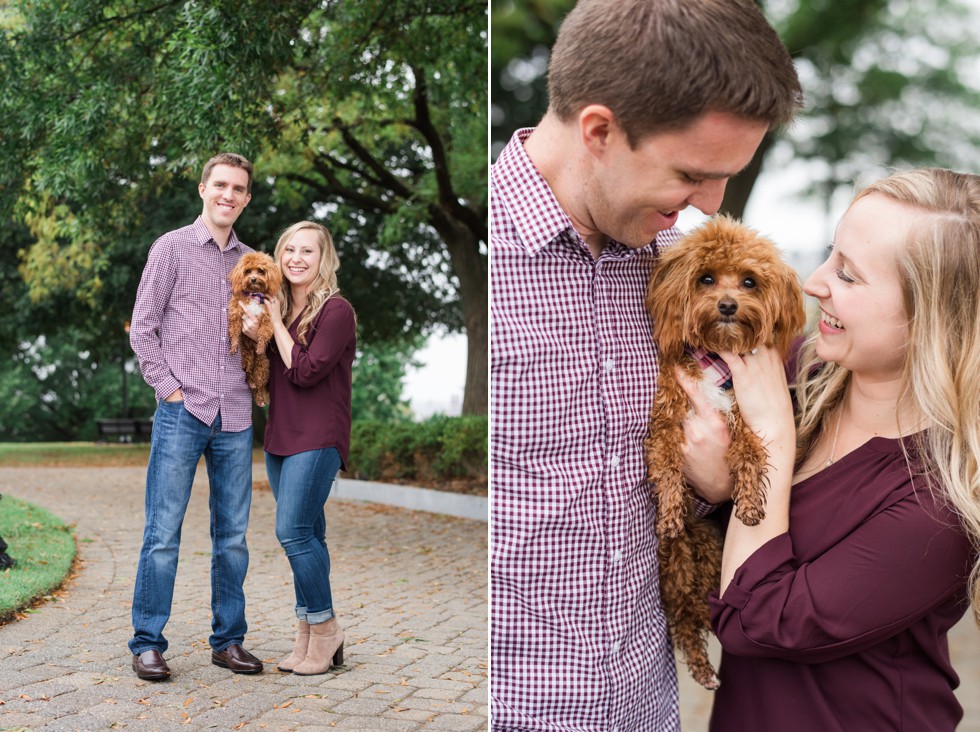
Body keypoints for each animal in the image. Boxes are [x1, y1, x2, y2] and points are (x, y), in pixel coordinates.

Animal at [232, 253, 286, 408]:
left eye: (261, 271)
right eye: (248, 271)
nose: (253, 279)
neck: (255, 295)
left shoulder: (267, 318)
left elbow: (263, 333)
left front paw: (261, 346)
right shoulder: (235, 311)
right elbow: (234, 330)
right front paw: (233, 345)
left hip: (262, 367)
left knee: (258, 386)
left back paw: (259, 398)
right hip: (246, 358)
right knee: (248, 373)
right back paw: (250, 382)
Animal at [644, 214, 804, 688]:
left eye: (749, 281)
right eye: (706, 279)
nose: (728, 306)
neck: (716, 355)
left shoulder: (742, 420)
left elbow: (752, 456)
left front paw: (751, 505)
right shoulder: (665, 422)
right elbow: (666, 465)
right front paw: (671, 510)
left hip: (709, 554)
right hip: (677, 560)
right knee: (684, 616)